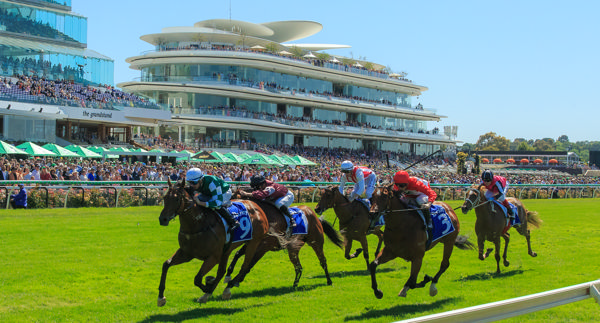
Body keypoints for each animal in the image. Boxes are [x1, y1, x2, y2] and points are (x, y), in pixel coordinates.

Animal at [156, 178, 268, 308]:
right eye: (164, 197)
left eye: (177, 199)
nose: (163, 219)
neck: (198, 225)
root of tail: (257, 207)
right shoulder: (187, 253)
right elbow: (166, 264)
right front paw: (161, 297)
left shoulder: (213, 257)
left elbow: (197, 278)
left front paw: (207, 288)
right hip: (227, 250)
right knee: (222, 271)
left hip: (254, 242)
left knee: (244, 267)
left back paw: (226, 289)